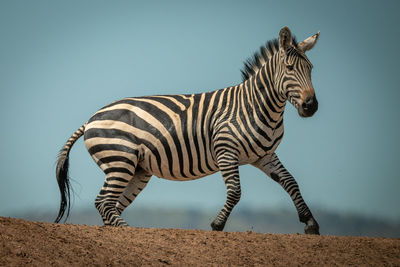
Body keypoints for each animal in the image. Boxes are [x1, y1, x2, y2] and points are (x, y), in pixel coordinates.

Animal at [54, 26, 320, 234]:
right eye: (289, 68)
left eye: (311, 68)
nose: (311, 106)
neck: (255, 106)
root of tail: (91, 119)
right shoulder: (226, 151)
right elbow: (235, 192)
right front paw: (216, 225)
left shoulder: (264, 155)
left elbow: (291, 182)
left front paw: (310, 223)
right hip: (120, 160)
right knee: (103, 202)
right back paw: (130, 231)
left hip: (137, 170)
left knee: (111, 205)